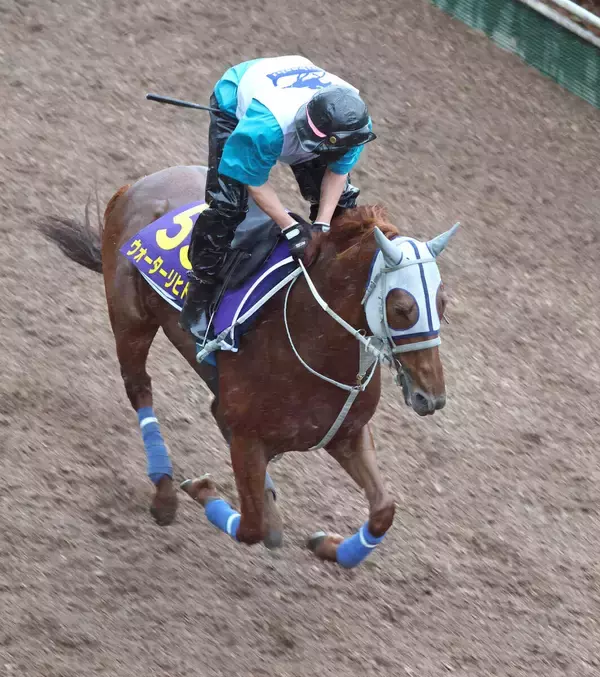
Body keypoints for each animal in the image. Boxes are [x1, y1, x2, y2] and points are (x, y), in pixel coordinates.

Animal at [40, 164, 458, 568]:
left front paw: (329, 546)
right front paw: (203, 490)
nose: (432, 397)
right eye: (402, 308)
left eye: (442, 303)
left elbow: (383, 510)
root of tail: (136, 186)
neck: (312, 341)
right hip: (131, 321)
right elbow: (254, 528)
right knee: (139, 386)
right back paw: (165, 493)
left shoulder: (347, 434)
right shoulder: (247, 439)